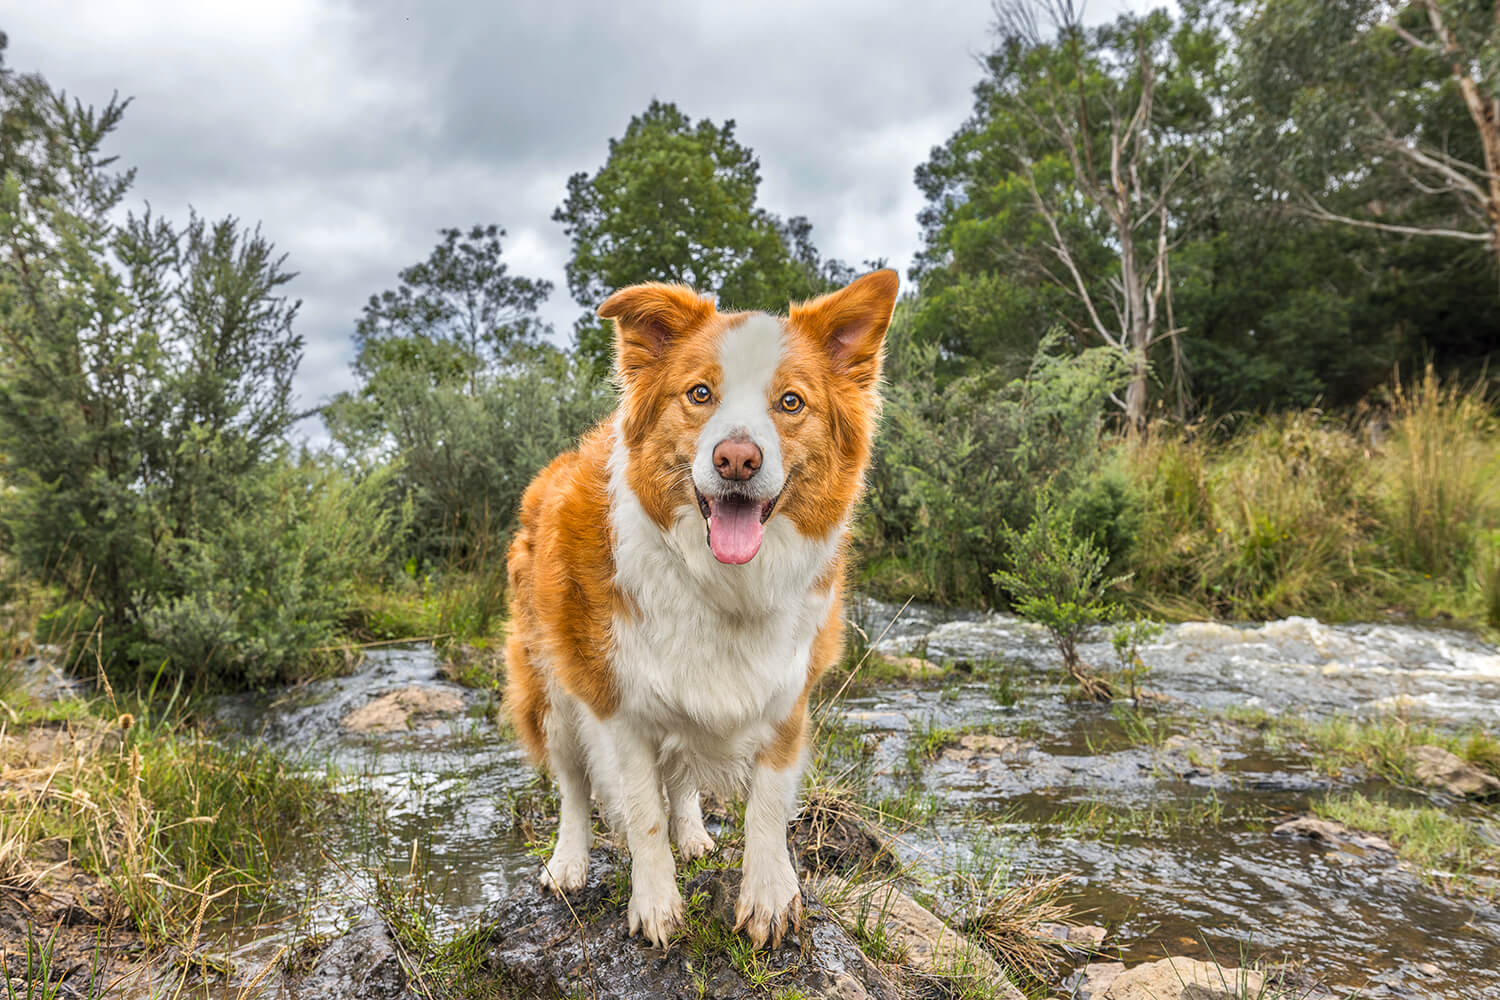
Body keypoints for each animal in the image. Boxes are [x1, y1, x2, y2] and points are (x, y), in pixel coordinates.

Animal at [504, 269, 900, 953]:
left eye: (790, 402)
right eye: (699, 394)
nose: (736, 459)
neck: (721, 580)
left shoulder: (786, 692)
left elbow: (766, 804)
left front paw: (769, 898)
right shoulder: (618, 702)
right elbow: (641, 811)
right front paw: (656, 906)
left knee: (682, 776)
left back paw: (692, 835)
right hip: (550, 689)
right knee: (575, 786)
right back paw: (569, 863)